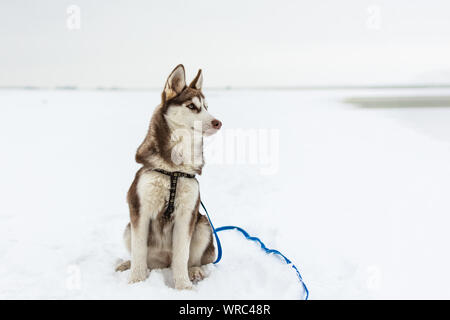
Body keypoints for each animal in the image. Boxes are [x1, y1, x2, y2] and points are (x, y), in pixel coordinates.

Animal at [115, 63, 222, 288]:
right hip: (128, 229)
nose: (218, 122)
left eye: (206, 107)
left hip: (203, 225)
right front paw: (136, 282)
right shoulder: (140, 209)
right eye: (192, 106)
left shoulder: (187, 213)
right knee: (142, 257)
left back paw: (194, 271)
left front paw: (183, 287)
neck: (173, 169)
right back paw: (127, 264)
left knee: (191, 259)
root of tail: (163, 262)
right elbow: (139, 252)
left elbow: (182, 255)